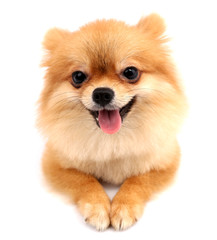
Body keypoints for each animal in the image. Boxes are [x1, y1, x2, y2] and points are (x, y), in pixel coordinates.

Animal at [36, 13, 186, 231]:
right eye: (78, 76)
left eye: (130, 72)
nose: (102, 93)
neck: (112, 139)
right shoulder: (55, 164)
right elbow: (84, 180)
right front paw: (97, 207)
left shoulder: (165, 162)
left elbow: (138, 181)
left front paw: (124, 206)